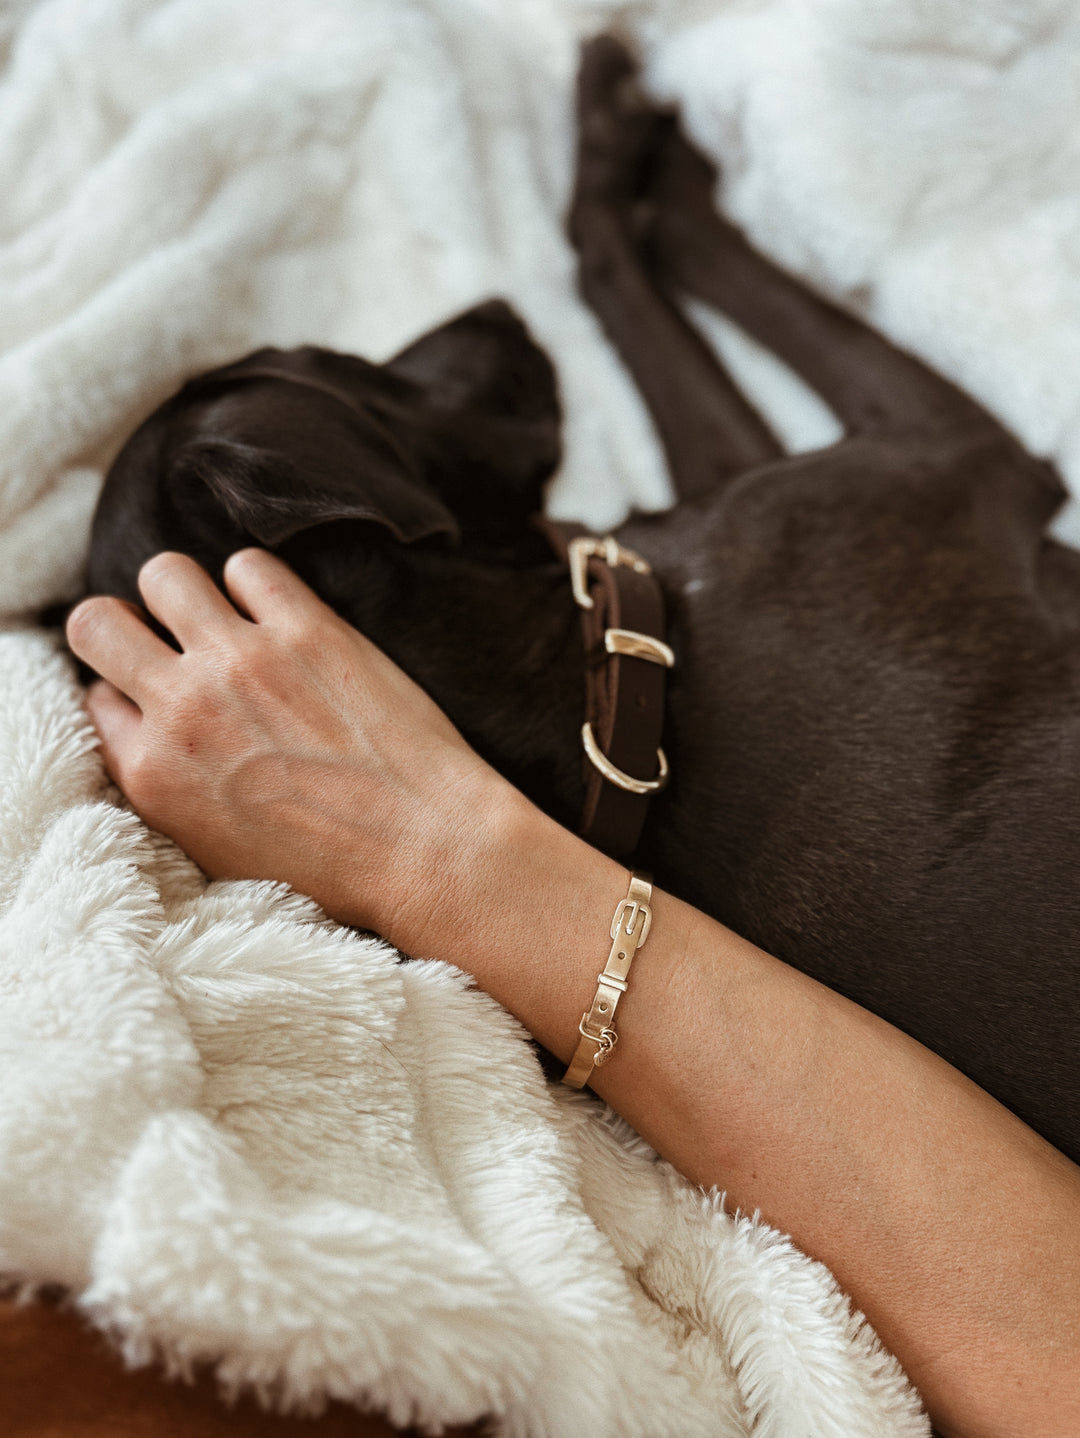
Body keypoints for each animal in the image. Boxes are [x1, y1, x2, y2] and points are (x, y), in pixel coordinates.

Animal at [88, 39, 1080, 1173]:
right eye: (333, 363)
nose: (499, 309)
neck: (581, 678)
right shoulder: (949, 448)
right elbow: (729, 287)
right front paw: (638, 153)